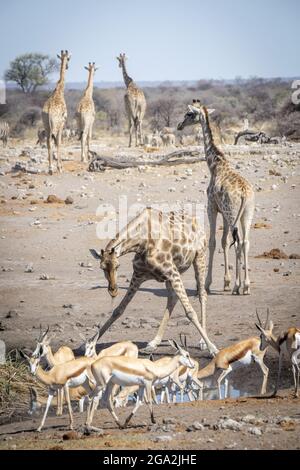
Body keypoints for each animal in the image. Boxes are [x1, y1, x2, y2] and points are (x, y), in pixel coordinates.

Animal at [90, 207, 219, 356]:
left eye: (118, 266)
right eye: (102, 268)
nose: (113, 290)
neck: (141, 242)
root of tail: (196, 221)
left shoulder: (171, 272)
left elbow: (190, 312)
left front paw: (213, 348)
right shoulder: (139, 275)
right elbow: (119, 310)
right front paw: (89, 344)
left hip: (199, 257)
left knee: (202, 294)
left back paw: (202, 342)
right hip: (175, 272)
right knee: (172, 299)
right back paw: (154, 342)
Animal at [177, 101, 256, 296]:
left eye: (189, 113)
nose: (179, 125)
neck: (215, 164)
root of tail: (244, 193)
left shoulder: (211, 207)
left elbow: (212, 242)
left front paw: (207, 283)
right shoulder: (223, 213)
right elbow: (224, 241)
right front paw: (226, 282)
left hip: (233, 213)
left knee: (238, 243)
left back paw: (238, 286)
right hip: (246, 214)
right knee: (245, 242)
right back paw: (246, 286)